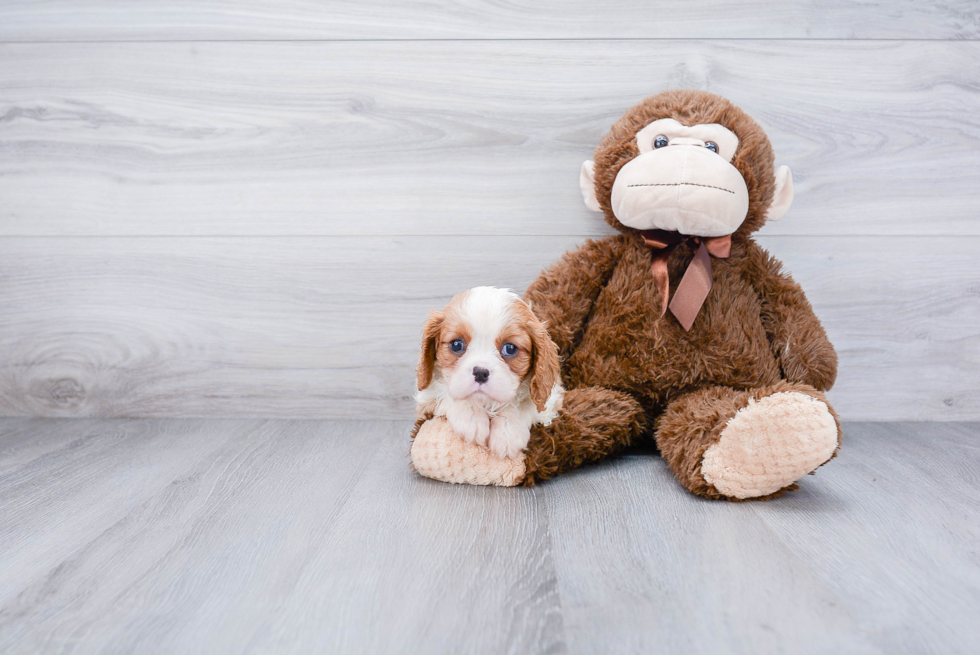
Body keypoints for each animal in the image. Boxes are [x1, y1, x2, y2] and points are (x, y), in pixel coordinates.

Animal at [416, 288, 568, 462]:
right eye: (456, 345)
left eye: (510, 348)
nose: (481, 372)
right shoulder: (425, 398)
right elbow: (446, 392)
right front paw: (471, 416)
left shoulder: (551, 399)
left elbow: (522, 404)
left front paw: (508, 433)